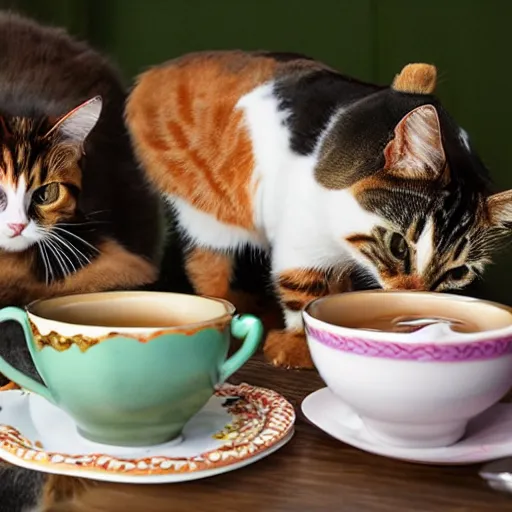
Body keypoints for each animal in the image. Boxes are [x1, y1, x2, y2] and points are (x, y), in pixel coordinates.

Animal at [126, 51, 512, 368]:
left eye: (457, 272)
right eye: (399, 246)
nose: (413, 296)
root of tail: (156, 73)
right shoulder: (301, 236)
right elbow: (302, 288)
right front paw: (298, 343)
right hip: (209, 208)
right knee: (206, 262)